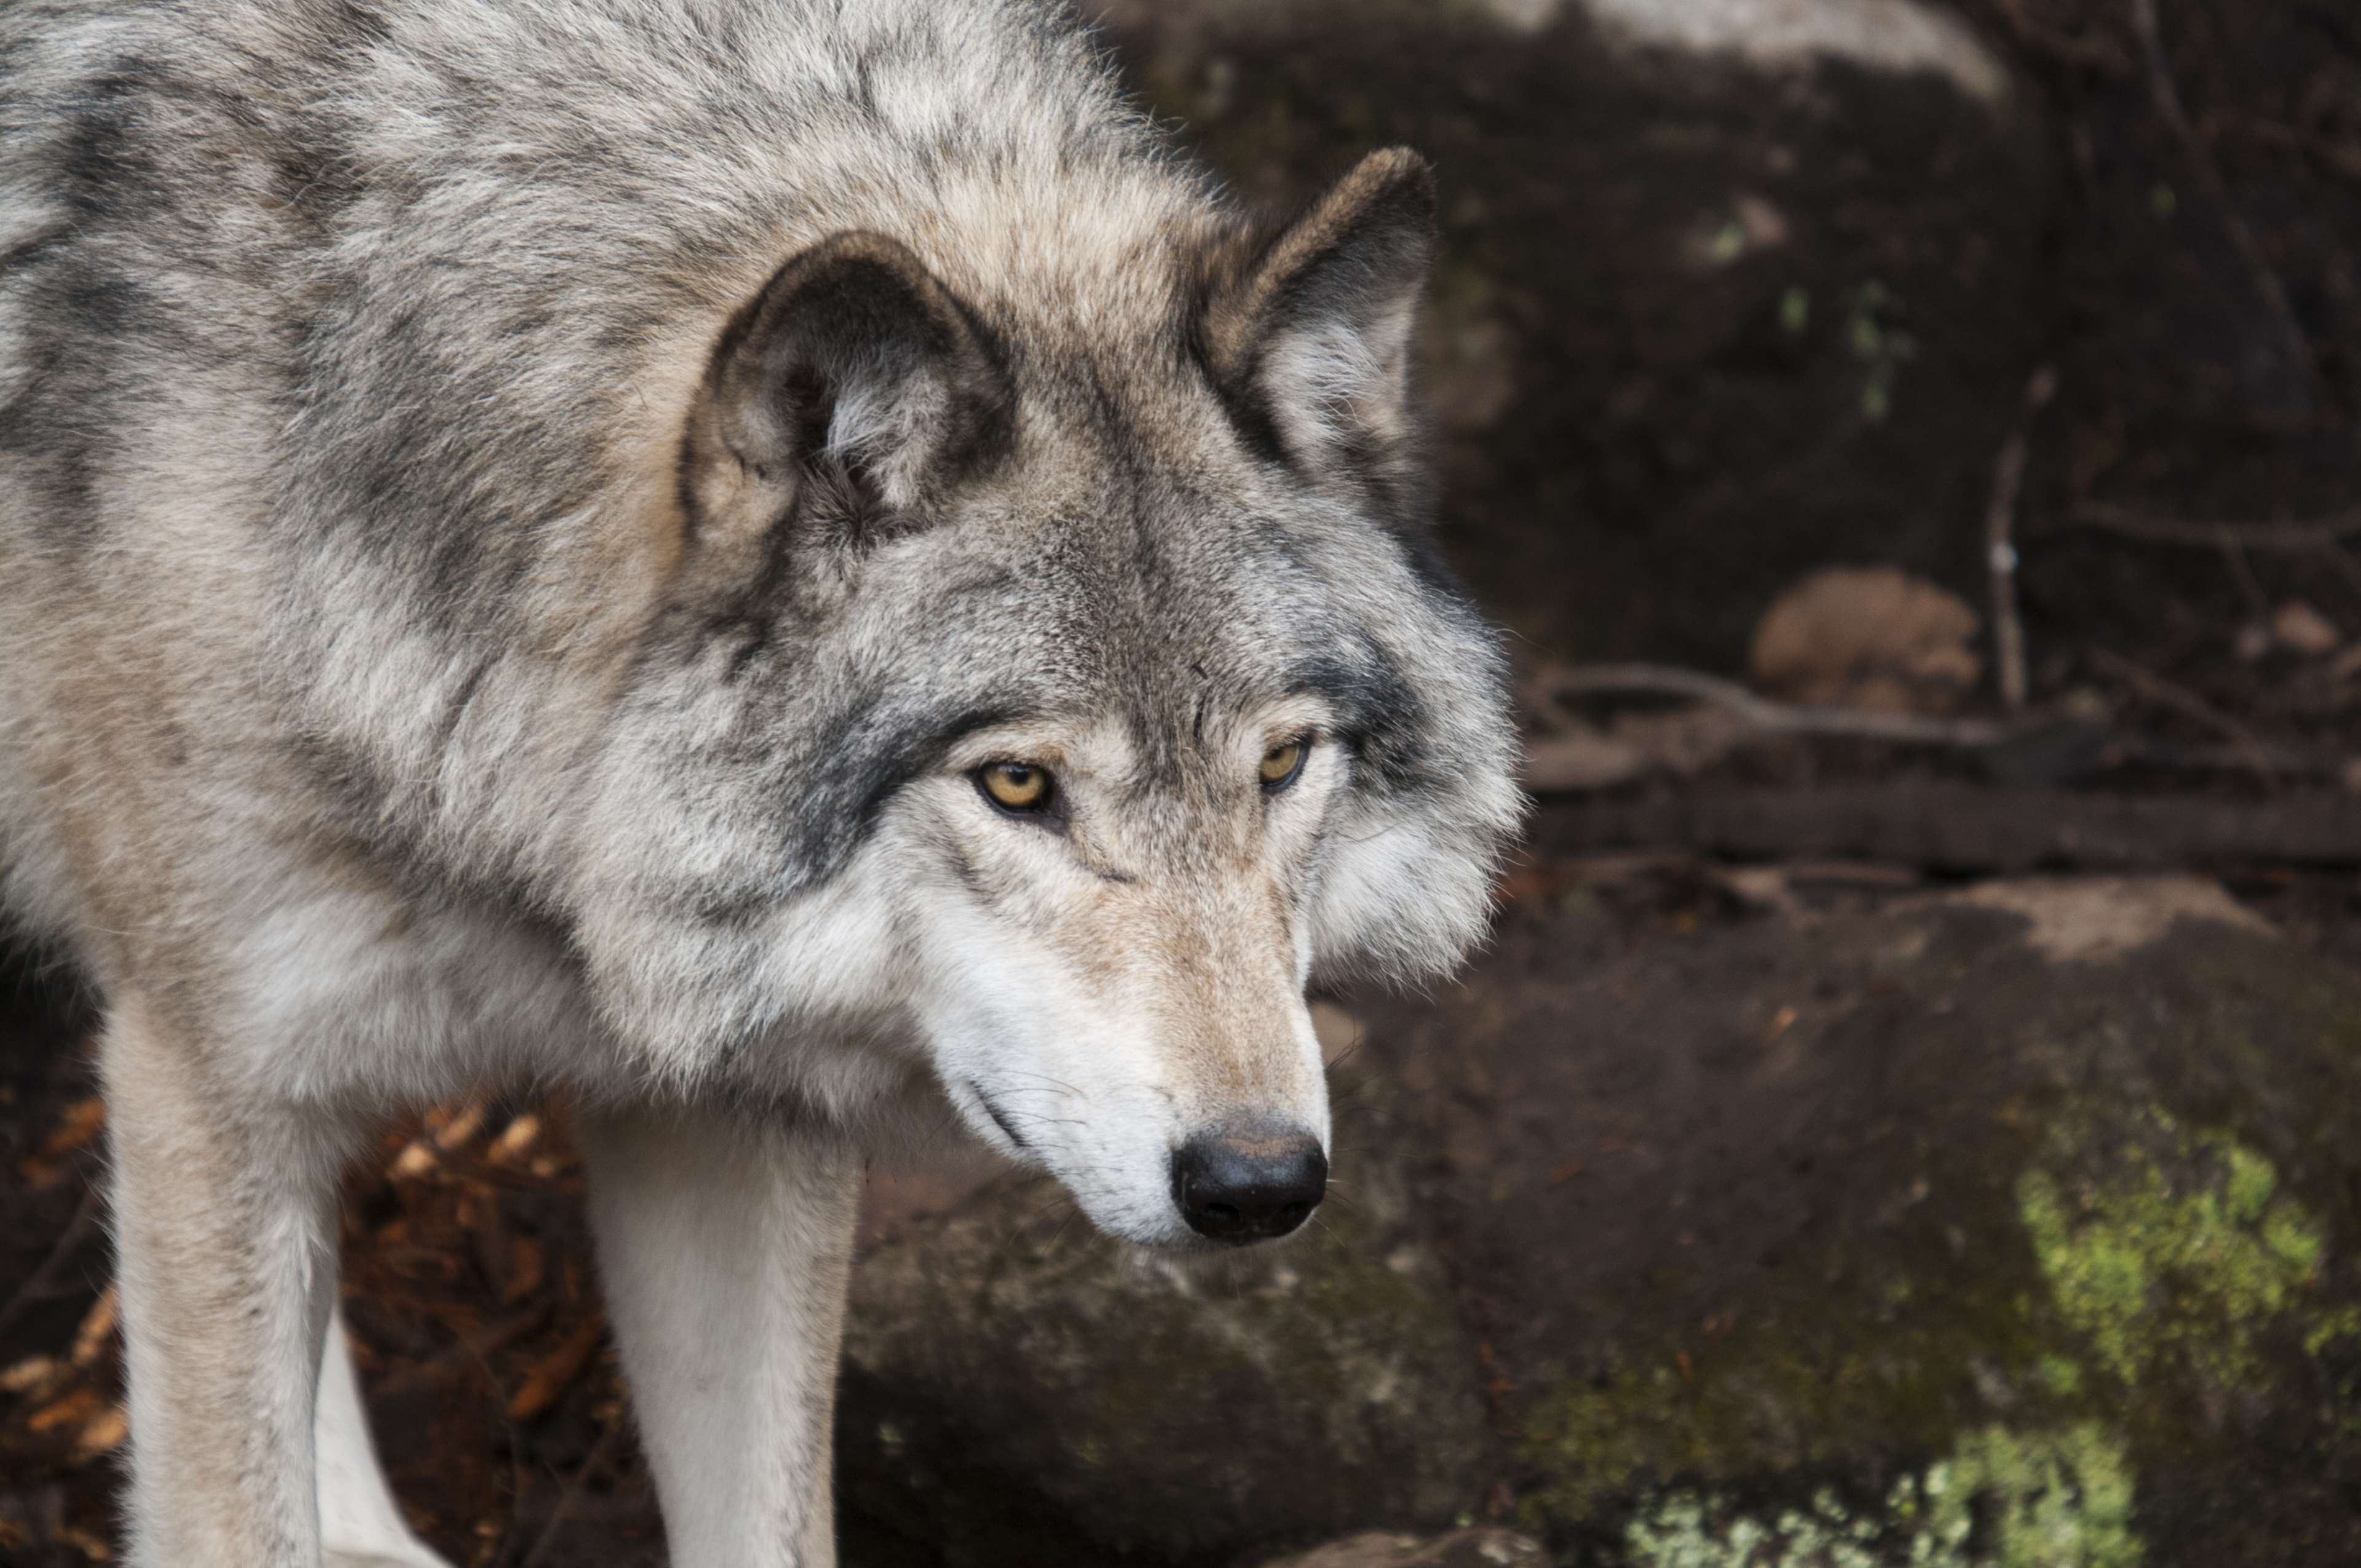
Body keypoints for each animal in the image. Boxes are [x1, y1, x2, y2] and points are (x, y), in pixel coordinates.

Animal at [0, 1, 1520, 1563]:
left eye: (1281, 762)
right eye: (1017, 784)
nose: (1260, 1182)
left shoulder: (732, 1119)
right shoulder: (208, 1079)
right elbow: (230, 1507)